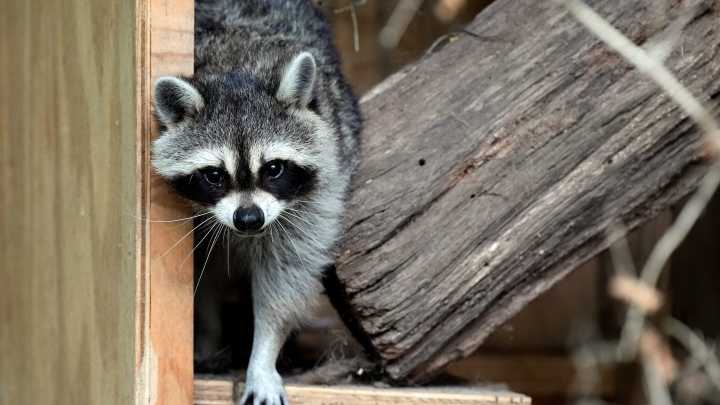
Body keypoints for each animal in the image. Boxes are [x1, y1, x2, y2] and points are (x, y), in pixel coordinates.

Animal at [151, 1, 361, 404]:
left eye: (274, 169)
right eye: (214, 175)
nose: (249, 219)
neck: (235, 64)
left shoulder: (320, 188)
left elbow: (287, 274)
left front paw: (264, 353)